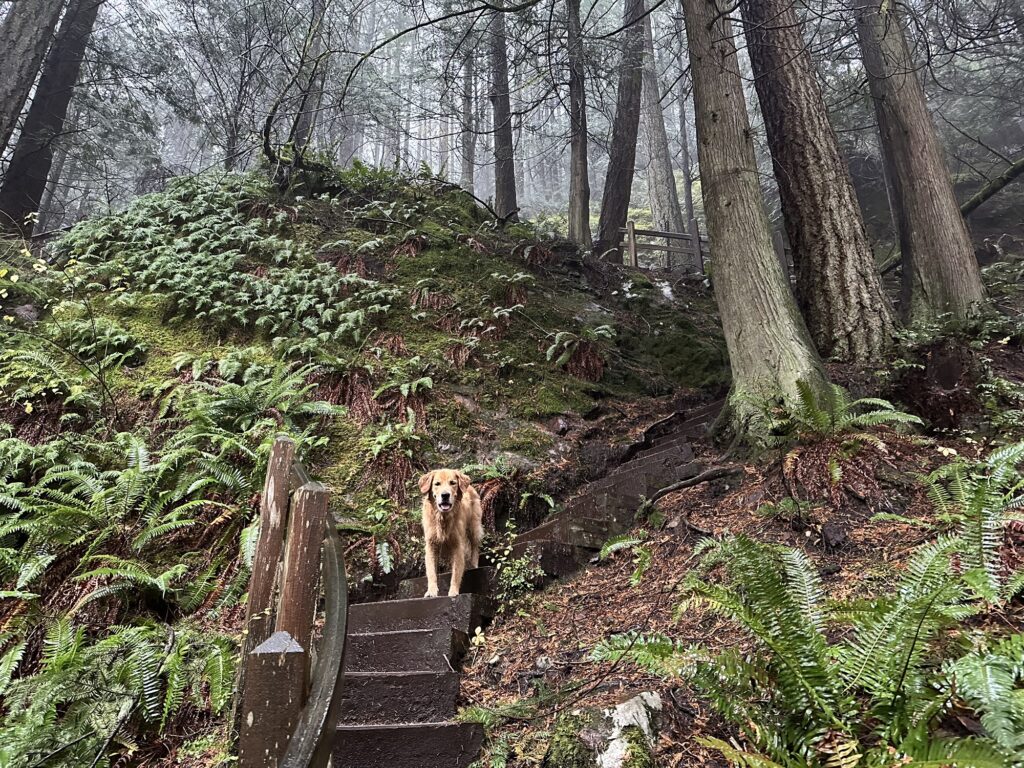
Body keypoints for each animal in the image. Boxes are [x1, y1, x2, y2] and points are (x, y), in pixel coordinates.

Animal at [415, 468, 483, 602]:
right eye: (437, 484)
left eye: (452, 483)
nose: (445, 495)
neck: (442, 518)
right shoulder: (431, 545)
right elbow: (431, 572)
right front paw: (431, 591)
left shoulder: (457, 546)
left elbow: (456, 573)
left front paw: (453, 591)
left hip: (474, 526)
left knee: (475, 546)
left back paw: (474, 564)